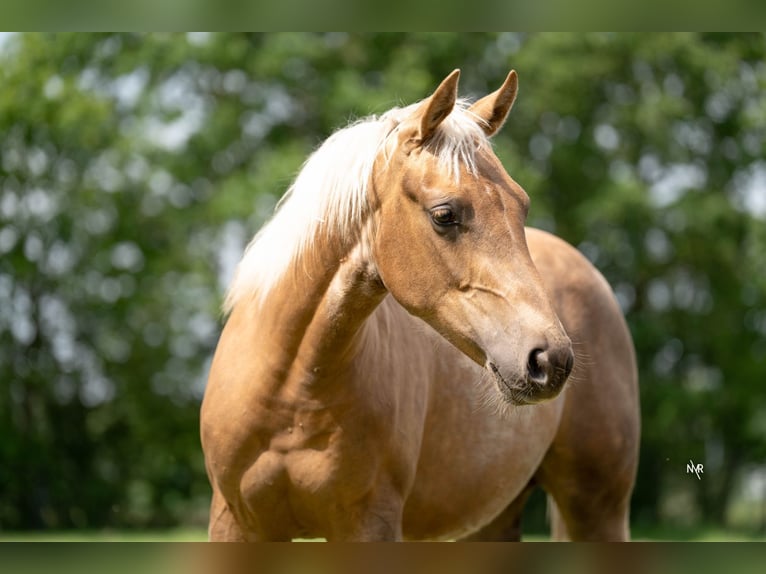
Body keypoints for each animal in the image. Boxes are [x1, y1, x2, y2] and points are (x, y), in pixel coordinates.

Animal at [200, 69, 640, 541]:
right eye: (445, 214)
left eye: (521, 206)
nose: (550, 360)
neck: (291, 391)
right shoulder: (234, 523)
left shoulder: (371, 525)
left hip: (597, 508)